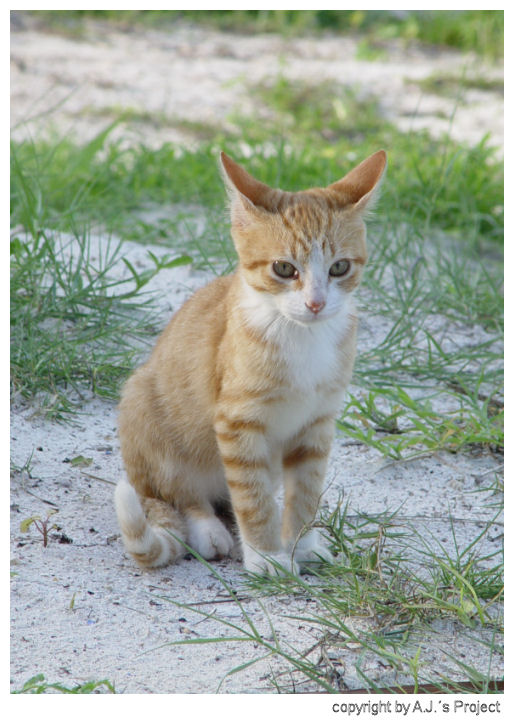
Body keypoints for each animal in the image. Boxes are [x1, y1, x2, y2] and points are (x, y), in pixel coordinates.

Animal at [113, 148, 384, 576]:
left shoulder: (317, 425)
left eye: (339, 267)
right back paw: (208, 530)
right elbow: (252, 498)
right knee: (180, 496)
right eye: (284, 269)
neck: (302, 339)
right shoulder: (237, 422)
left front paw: (302, 545)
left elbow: (306, 493)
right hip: (146, 413)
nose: (316, 303)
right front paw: (267, 556)